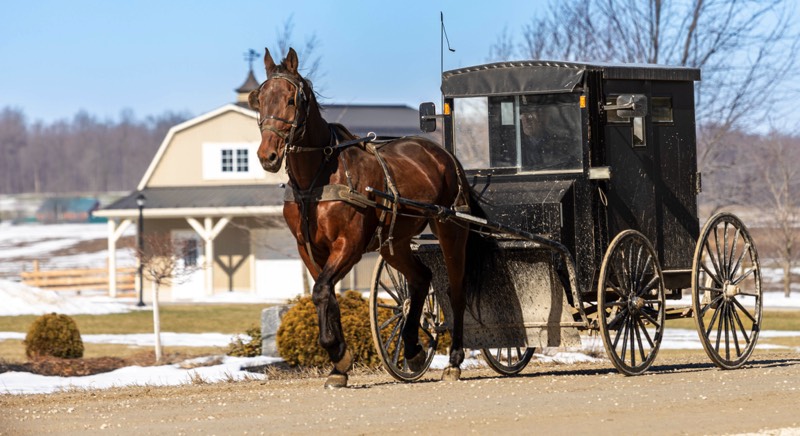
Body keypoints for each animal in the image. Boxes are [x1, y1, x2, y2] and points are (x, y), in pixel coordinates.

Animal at [250, 48, 488, 388]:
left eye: (291, 99)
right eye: (258, 99)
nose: (266, 155)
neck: (317, 180)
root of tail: (443, 154)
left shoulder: (349, 244)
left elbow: (321, 291)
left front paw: (337, 354)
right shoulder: (307, 248)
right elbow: (326, 295)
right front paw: (338, 363)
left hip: (450, 227)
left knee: (456, 289)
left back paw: (454, 360)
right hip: (394, 242)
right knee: (420, 279)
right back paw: (413, 348)